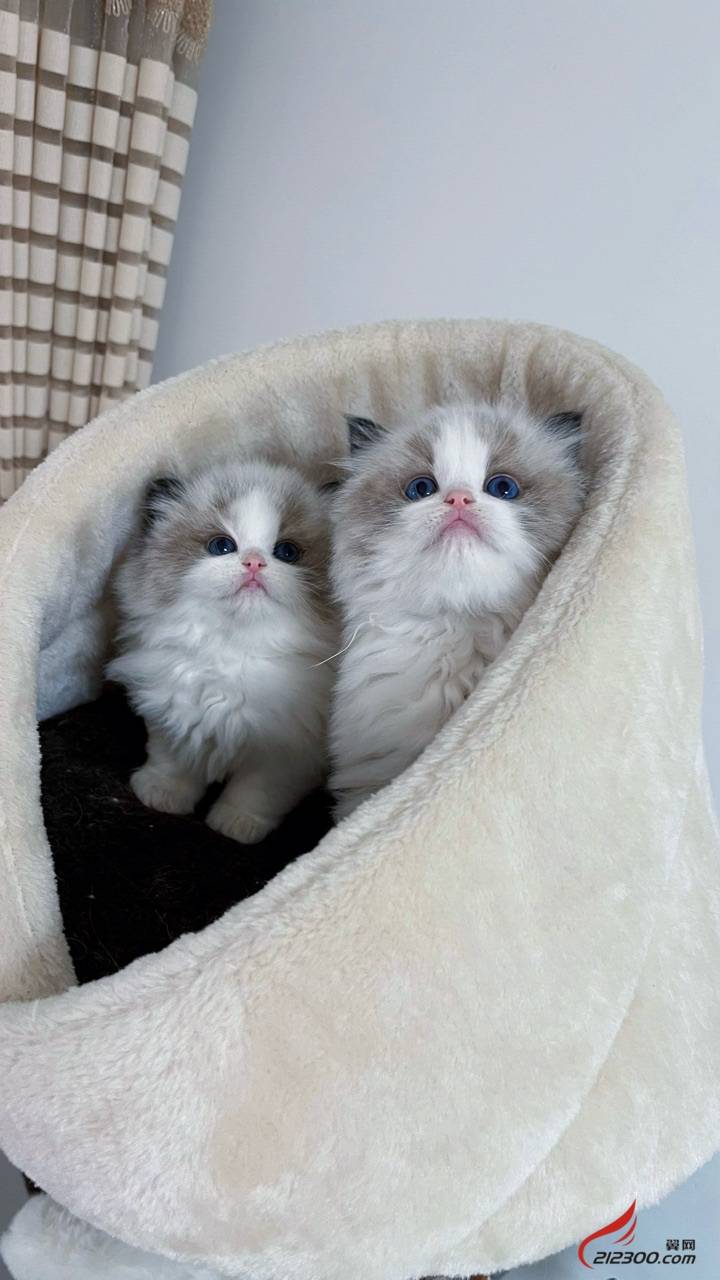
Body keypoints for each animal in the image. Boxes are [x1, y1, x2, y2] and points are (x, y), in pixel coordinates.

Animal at [107, 460, 337, 844]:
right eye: (222, 546)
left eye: (286, 552)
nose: (254, 563)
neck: (232, 653)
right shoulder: (173, 715)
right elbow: (172, 763)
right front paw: (161, 797)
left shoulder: (288, 750)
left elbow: (256, 793)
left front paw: (236, 825)